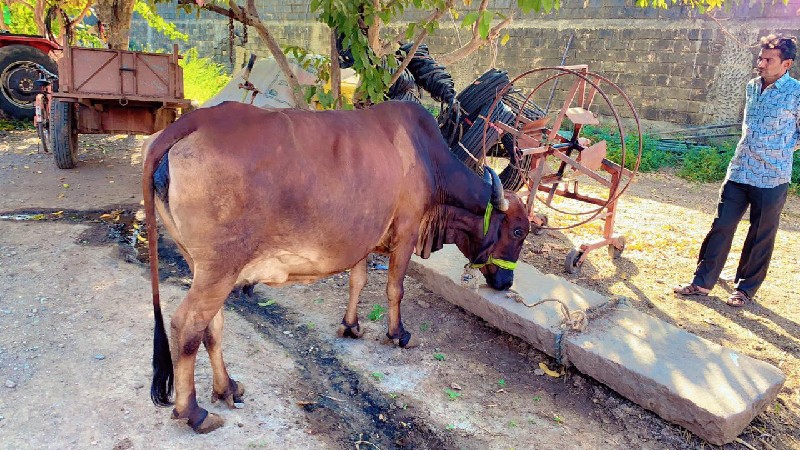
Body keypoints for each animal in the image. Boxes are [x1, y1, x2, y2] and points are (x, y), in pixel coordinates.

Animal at [142, 101, 532, 432]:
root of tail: (192, 122)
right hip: (219, 269)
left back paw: (227, 388)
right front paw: (397, 334)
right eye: (517, 231)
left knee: (212, 325)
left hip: (204, 266)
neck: (428, 161)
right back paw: (193, 412)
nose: (506, 282)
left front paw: (351, 326)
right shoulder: (406, 232)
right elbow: (395, 288)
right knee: (186, 325)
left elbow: (357, 281)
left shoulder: (364, 239)